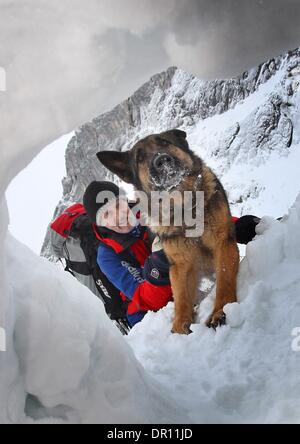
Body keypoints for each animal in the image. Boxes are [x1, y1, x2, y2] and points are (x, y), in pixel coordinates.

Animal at [97, 130, 240, 334]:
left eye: (164, 143)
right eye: (140, 158)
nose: (162, 160)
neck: (184, 208)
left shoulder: (222, 243)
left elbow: (225, 279)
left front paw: (220, 311)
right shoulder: (179, 266)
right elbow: (181, 298)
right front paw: (180, 326)